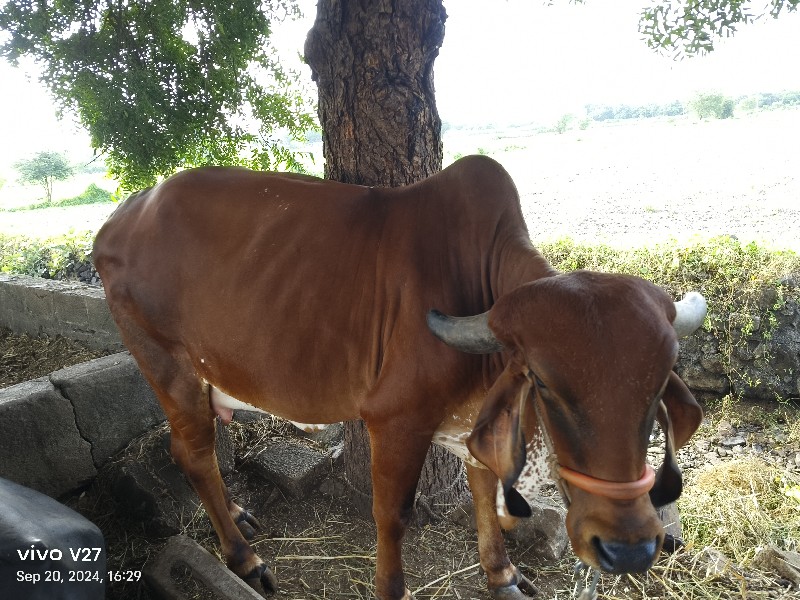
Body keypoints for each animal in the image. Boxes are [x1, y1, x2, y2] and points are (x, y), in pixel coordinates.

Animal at [95, 156, 708, 600]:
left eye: (659, 386)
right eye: (544, 383)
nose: (629, 549)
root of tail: (122, 217)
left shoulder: (473, 418)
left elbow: (483, 487)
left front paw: (503, 575)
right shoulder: (395, 420)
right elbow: (392, 516)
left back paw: (240, 517)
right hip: (166, 365)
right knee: (193, 452)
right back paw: (243, 556)